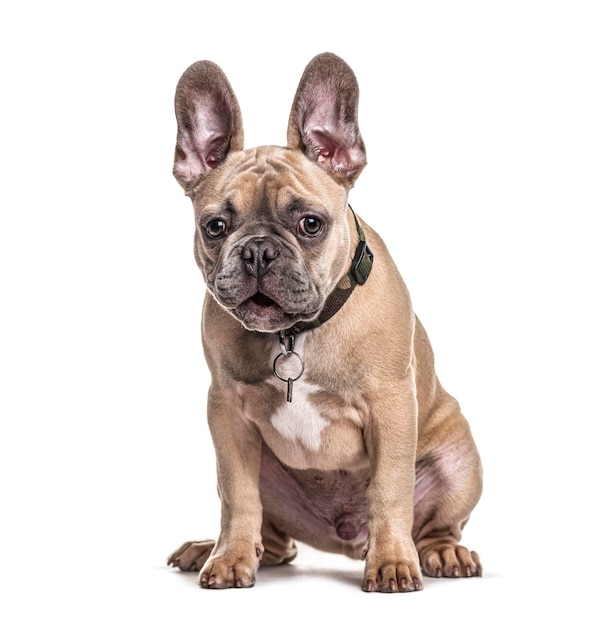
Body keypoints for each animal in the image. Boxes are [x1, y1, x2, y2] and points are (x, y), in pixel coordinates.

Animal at [165, 50, 482, 588]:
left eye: (310, 224)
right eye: (215, 226)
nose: (258, 252)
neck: (294, 333)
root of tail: (346, 540)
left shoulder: (392, 406)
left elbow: (389, 490)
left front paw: (392, 563)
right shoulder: (226, 412)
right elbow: (236, 495)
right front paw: (229, 559)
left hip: (460, 462)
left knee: (436, 526)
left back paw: (440, 554)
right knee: (271, 537)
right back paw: (217, 549)